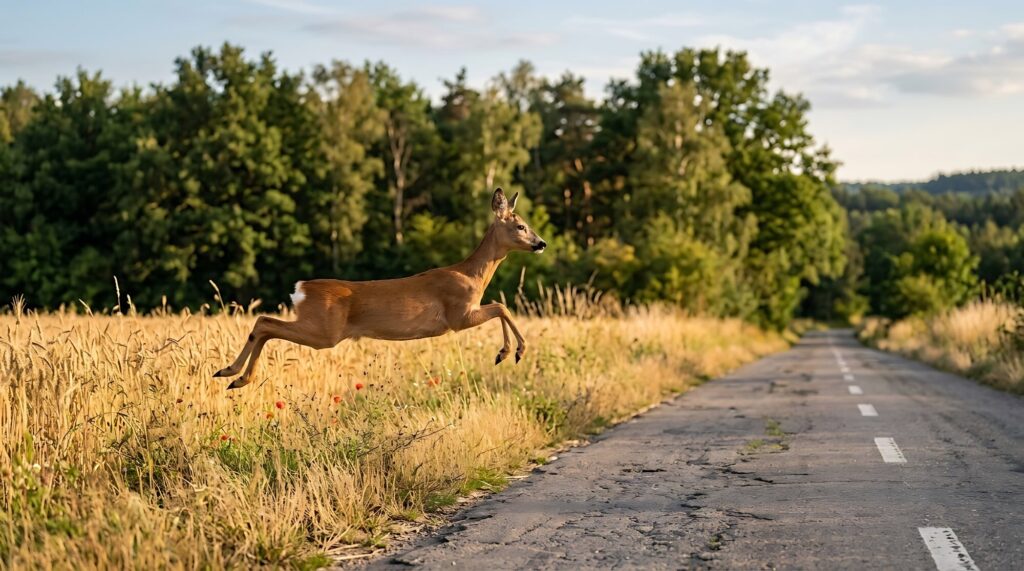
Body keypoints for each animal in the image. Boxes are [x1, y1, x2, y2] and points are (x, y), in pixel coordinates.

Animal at [214, 188, 547, 389]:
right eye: (521, 226)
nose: (541, 243)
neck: (471, 275)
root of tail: (302, 288)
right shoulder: (458, 315)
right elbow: (501, 306)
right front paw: (512, 352)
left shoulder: (464, 313)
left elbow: (501, 307)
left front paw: (505, 352)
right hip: (323, 331)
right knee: (264, 322)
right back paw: (234, 375)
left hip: (319, 328)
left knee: (263, 324)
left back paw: (232, 375)